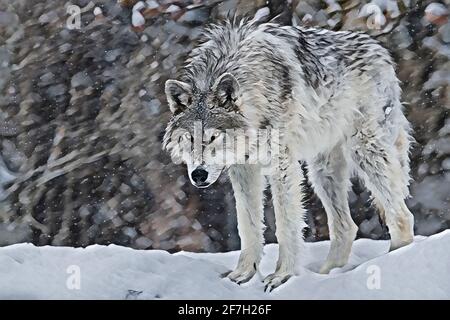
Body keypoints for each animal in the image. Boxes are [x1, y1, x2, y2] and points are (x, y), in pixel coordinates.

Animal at [163, 18, 414, 292]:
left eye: (212, 137)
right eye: (189, 139)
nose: (198, 175)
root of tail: (379, 50)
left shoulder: (282, 166)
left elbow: (286, 224)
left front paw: (282, 275)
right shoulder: (244, 170)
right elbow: (247, 225)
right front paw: (242, 274)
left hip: (366, 152)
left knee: (401, 215)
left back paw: (394, 262)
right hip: (322, 173)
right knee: (347, 226)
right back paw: (326, 275)